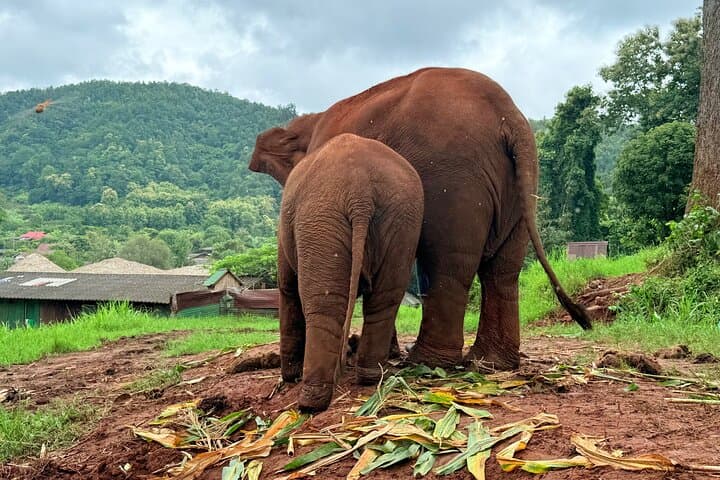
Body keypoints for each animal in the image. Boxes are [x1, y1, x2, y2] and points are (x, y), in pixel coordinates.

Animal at [250, 67, 591, 372]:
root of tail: (509, 117)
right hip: (521, 183)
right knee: (503, 269)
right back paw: (489, 363)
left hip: (451, 178)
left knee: (447, 264)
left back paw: (427, 362)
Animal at [273, 133, 423, 412]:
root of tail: (360, 194)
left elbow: (287, 288)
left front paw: (289, 377)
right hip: (402, 219)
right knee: (385, 299)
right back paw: (369, 377)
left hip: (319, 218)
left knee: (324, 306)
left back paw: (310, 403)